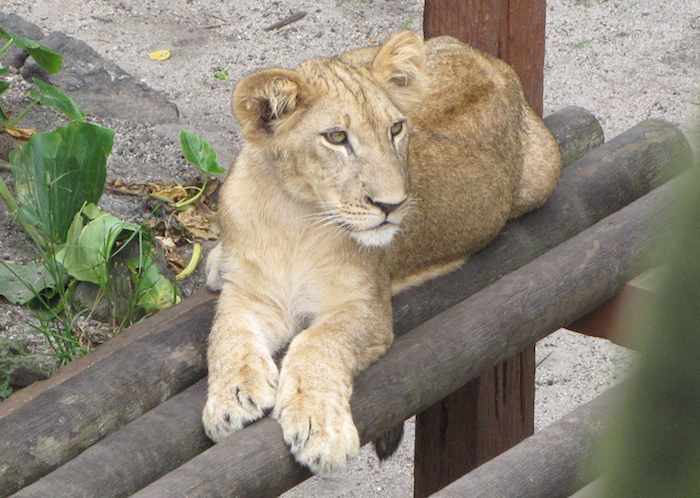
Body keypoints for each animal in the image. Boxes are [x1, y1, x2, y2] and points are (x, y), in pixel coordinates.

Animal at [202, 31, 561, 474]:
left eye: (396, 128)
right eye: (337, 137)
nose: (392, 205)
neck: (296, 216)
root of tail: (495, 64)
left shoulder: (365, 309)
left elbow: (316, 343)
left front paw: (319, 429)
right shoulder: (248, 293)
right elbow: (226, 335)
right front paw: (231, 398)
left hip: (543, 172)